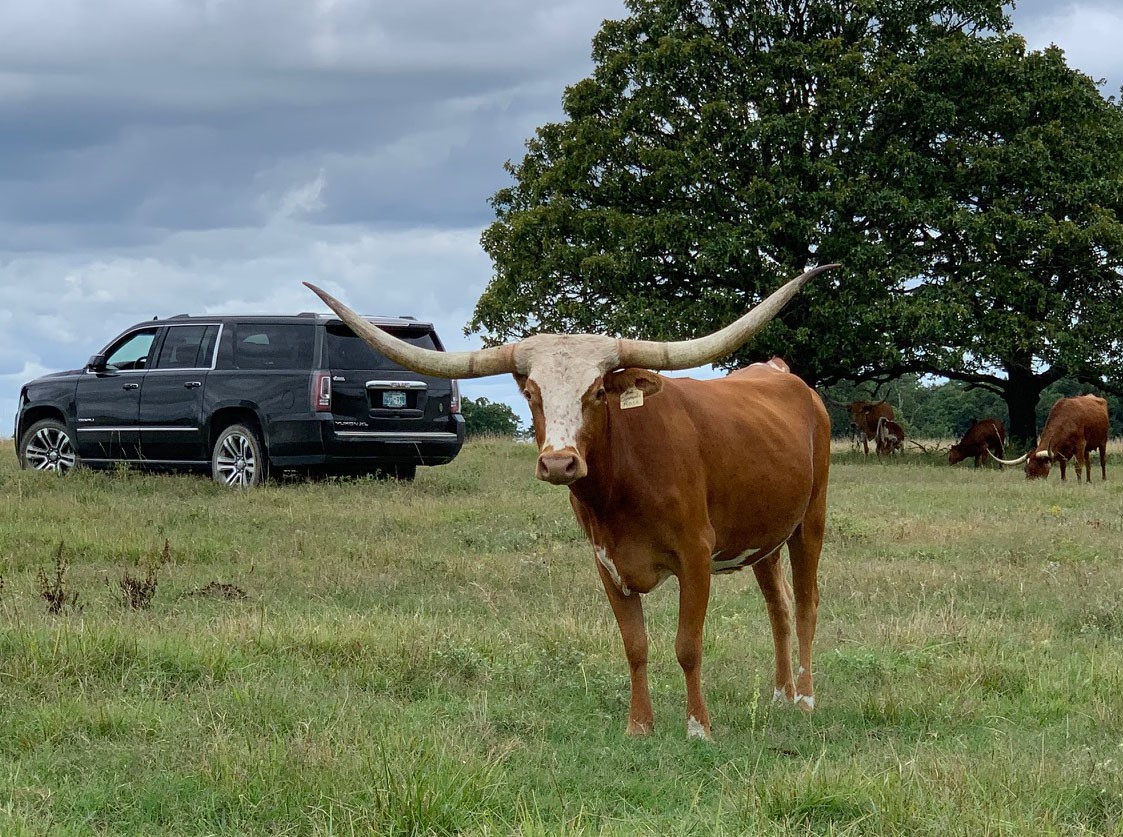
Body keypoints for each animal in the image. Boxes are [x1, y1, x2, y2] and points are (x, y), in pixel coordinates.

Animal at [305, 264, 837, 740]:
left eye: (598, 391)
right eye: (531, 393)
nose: (559, 463)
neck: (624, 485)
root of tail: (780, 372)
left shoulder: (696, 555)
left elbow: (687, 645)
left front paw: (698, 728)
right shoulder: (606, 561)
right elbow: (635, 645)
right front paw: (639, 726)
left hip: (811, 519)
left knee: (806, 603)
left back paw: (807, 699)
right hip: (765, 537)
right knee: (779, 607)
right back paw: (781, 694)